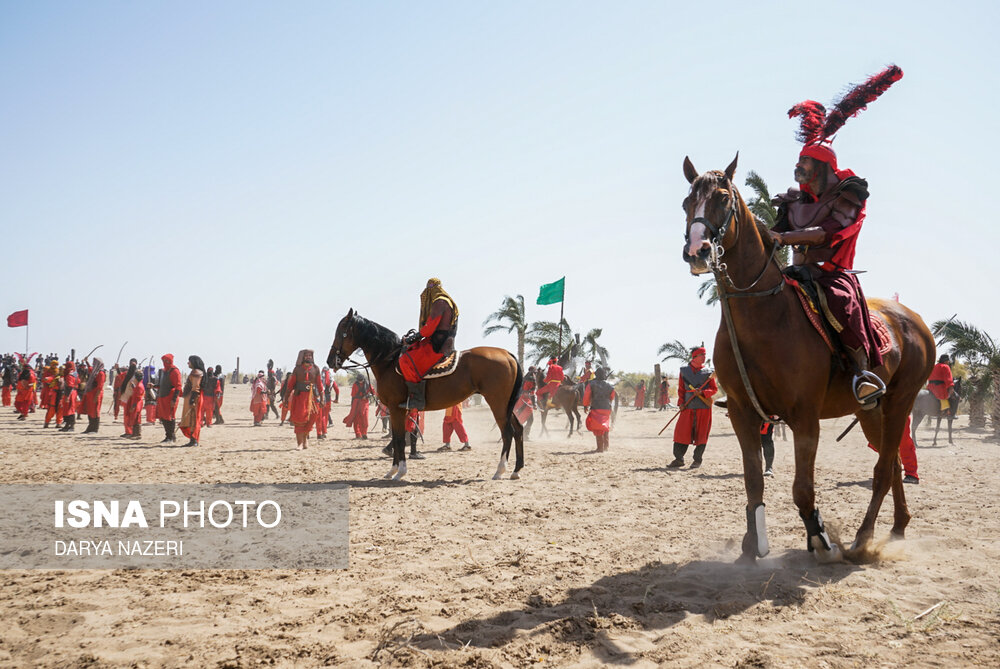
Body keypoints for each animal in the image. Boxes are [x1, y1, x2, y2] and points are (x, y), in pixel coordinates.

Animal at [332, 308, 528, 480]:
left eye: (341, 331)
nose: (330, 360)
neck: (390, 361)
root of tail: (507, 354)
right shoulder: (399, 410)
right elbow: (397, 438)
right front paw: (392, 471)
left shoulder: (396, 409)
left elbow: (399, 440)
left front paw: (400, 471)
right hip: (507, 405)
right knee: (518, 429)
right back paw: (516, 470)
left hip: (497, 403)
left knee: (507, 432)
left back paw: (500, 470)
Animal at [680, 157, 936, 564]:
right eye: (687, 202)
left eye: (722, 198)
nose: (697, 251)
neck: (764, 316)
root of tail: (914, 320)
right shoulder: (741, 412)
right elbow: (753, 482)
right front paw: (752, 544)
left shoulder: (804, 418)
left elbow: (802, 488)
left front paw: (819, 538)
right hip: (870, 411)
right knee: (893, 464)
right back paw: (898, 526)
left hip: (901, 401)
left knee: (883, 469)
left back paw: (863, 540)